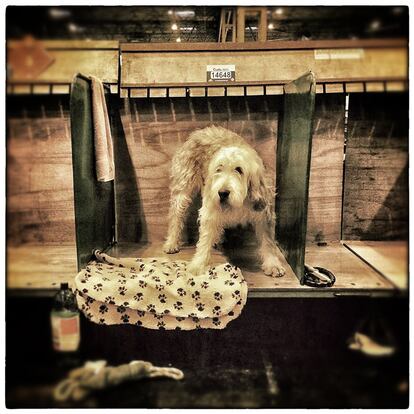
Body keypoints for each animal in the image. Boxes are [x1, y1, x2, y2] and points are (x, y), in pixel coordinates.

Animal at [163, 125, 286, 278]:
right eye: (219, 169)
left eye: (239, 169)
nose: (222, 193)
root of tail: (199, 132)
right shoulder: (210, 208)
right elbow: (204, 239)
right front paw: (198, 264)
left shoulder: (263, 212)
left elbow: (268, 241)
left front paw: (273, 264)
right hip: (183, 189)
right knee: (176, 216)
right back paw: (172, 242)